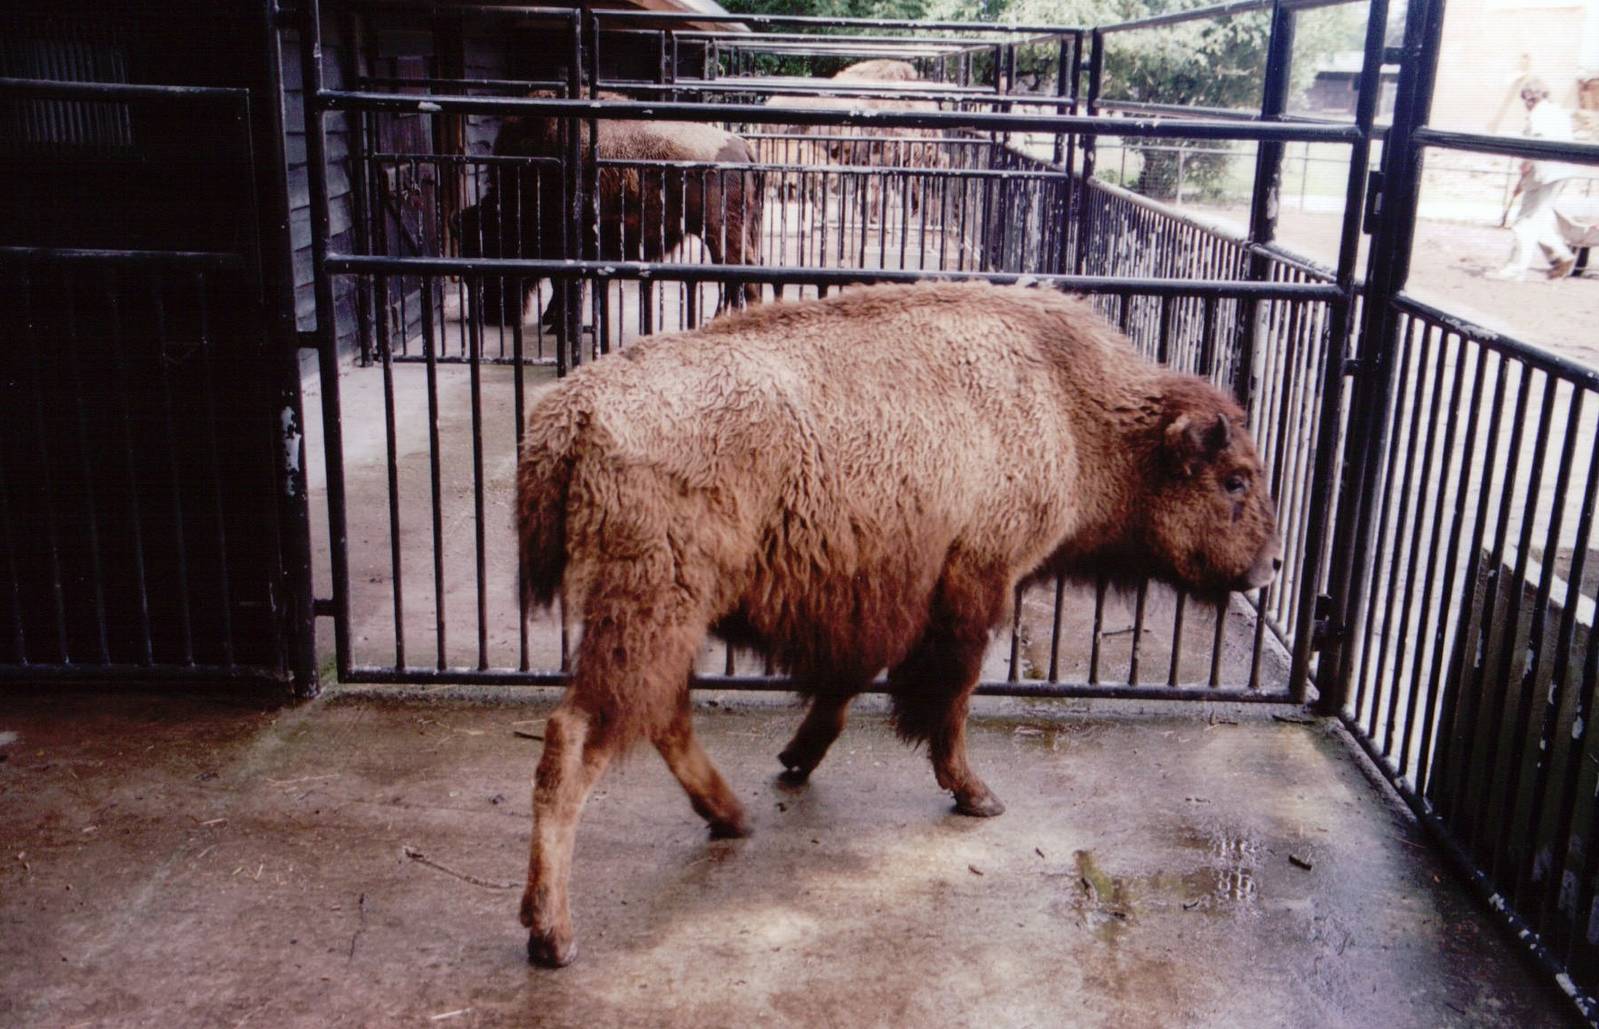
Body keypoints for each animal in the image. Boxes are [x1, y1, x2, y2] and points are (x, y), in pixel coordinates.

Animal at [513, 281, 1282, 967]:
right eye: (1234, 478)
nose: (1271, 565)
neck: (1073, 407)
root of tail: (572, 414)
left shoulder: (877, 606)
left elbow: (844, 690)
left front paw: (796, 760)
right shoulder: (975, 585)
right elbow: (951, 701)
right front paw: (975, 794)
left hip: (666, 619)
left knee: (662, 717)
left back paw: (730, 817)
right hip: (650, 611)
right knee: (576, 739)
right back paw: (552, 933)